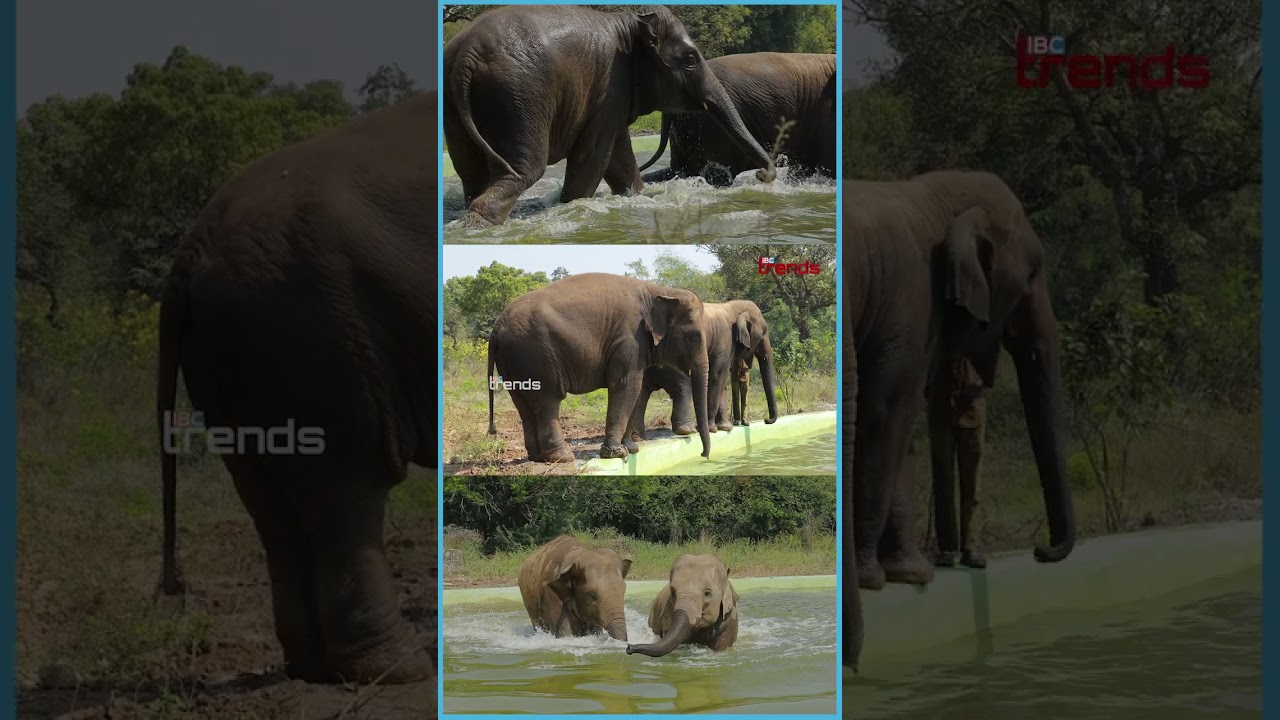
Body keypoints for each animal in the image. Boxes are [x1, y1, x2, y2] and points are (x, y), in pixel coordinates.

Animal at [155, 93, 438, 683]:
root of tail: (191, 251)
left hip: (243, 356)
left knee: (272, 506)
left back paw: (312, 668)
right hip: (313, 339)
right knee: (348, 492)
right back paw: (399, 669)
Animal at [443, 5, 776, 228]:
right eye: (691, 59)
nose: (763, 175)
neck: (630, 21)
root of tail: (468, 52)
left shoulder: (611, 95)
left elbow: (619, 156)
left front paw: (640, 198)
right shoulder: (608, 89)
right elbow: (592, 157)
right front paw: (573, 204)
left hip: (456, 103)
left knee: (472, 172)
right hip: (518, 96)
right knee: (524, 170)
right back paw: (480, 222)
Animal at [486, 272, 712, 463]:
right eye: (693, 338)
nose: (703, 455)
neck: (660, 290)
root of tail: (497, 327)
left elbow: (635, 390)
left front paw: (631, 449)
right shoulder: (630, 339)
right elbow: (625, 385)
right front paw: (615, 454)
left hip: (513, 362)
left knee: (523, 405)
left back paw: (537, 457)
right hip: (536, 356)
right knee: (547, 402)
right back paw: (562, 457)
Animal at [628, 299, 779, 442]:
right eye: (763, 333)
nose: (767, 420)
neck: (732, 307)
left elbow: (720, 381)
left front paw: (725, 428)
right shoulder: (725, 343)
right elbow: (717, 377)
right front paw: (713, 429)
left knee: (643, 391)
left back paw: (639, 438)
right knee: (683, 386)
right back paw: (687, 430)